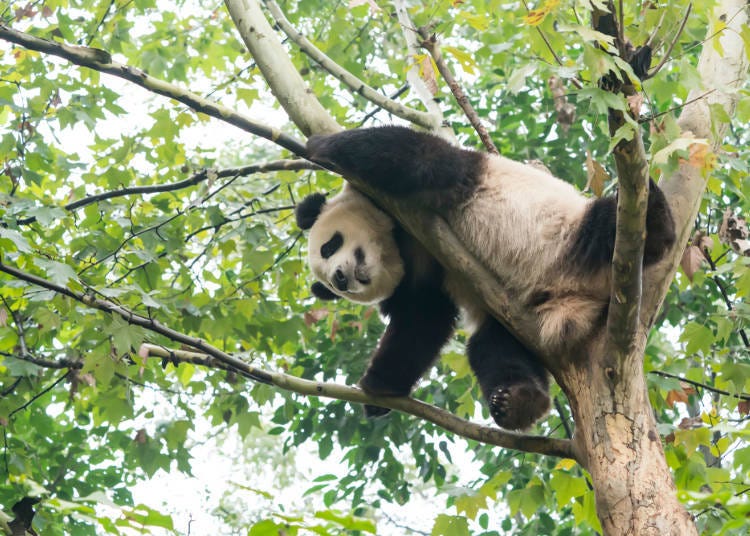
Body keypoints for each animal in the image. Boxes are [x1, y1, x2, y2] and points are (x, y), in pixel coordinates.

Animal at [296, 123, 680, 430]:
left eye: (329, 245)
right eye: (331, 284)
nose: (342, 276)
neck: (398, 244)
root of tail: (576, 300)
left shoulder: (422, 205)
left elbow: (417, 158)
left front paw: (319, 145)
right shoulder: (425, 270)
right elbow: (422, 320)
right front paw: (379, 387)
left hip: (574, 236)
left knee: (611, 225)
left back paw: (654, 214)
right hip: (517, 317)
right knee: (493, 347)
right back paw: (519, 402)